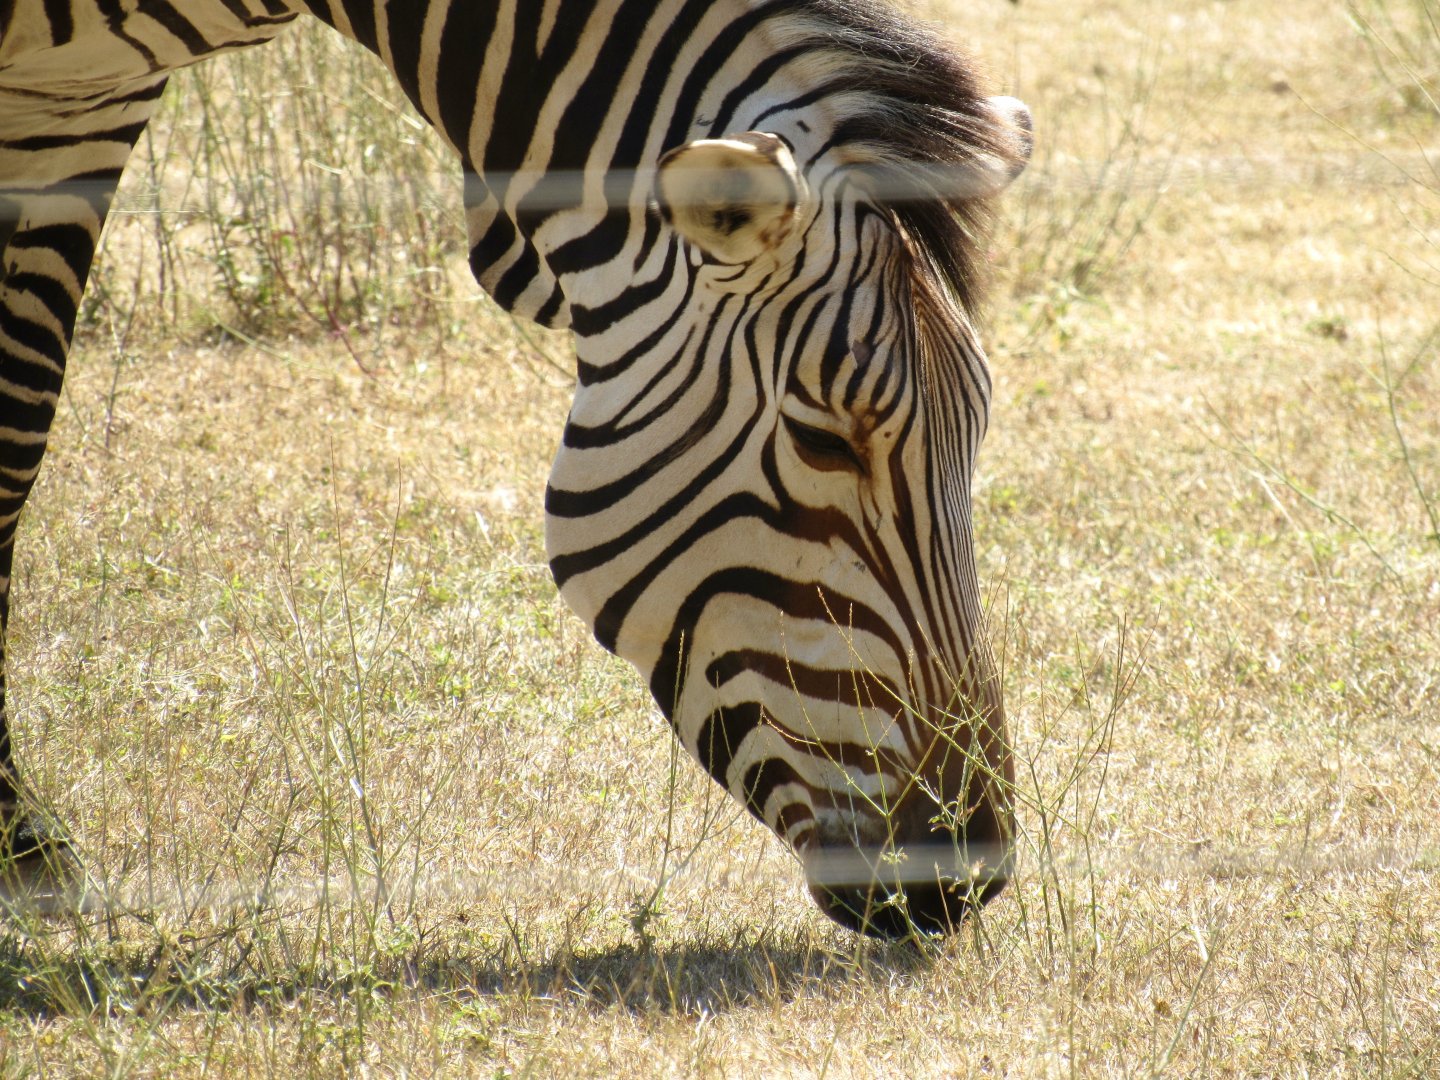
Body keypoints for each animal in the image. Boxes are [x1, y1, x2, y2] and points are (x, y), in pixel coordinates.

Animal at [0, 0, 1032, 937]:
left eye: (980, 430)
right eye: (825, 442)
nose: (963, 872)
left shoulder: (85, 98)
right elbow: (14, 441)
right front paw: (23, 848)